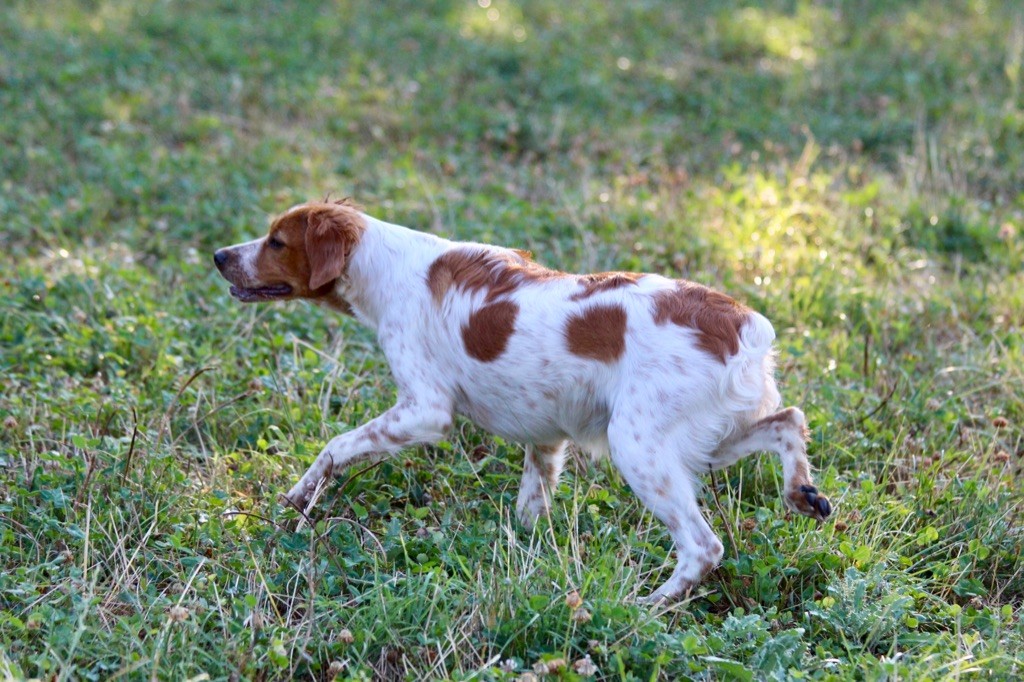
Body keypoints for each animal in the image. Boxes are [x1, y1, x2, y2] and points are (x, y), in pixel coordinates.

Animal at [211, 196, 827, 602]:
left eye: (276, 241)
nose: (218, 255)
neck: (386, 264)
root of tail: (743, 323)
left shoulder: (425, 410)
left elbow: (335, 446)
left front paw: (297, 498)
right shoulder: (546, 437)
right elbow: (532, 505)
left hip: (639, 447)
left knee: (703, 546)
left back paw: (647, 603)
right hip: (707, 437)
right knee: (789, 419)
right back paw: (803, 492)